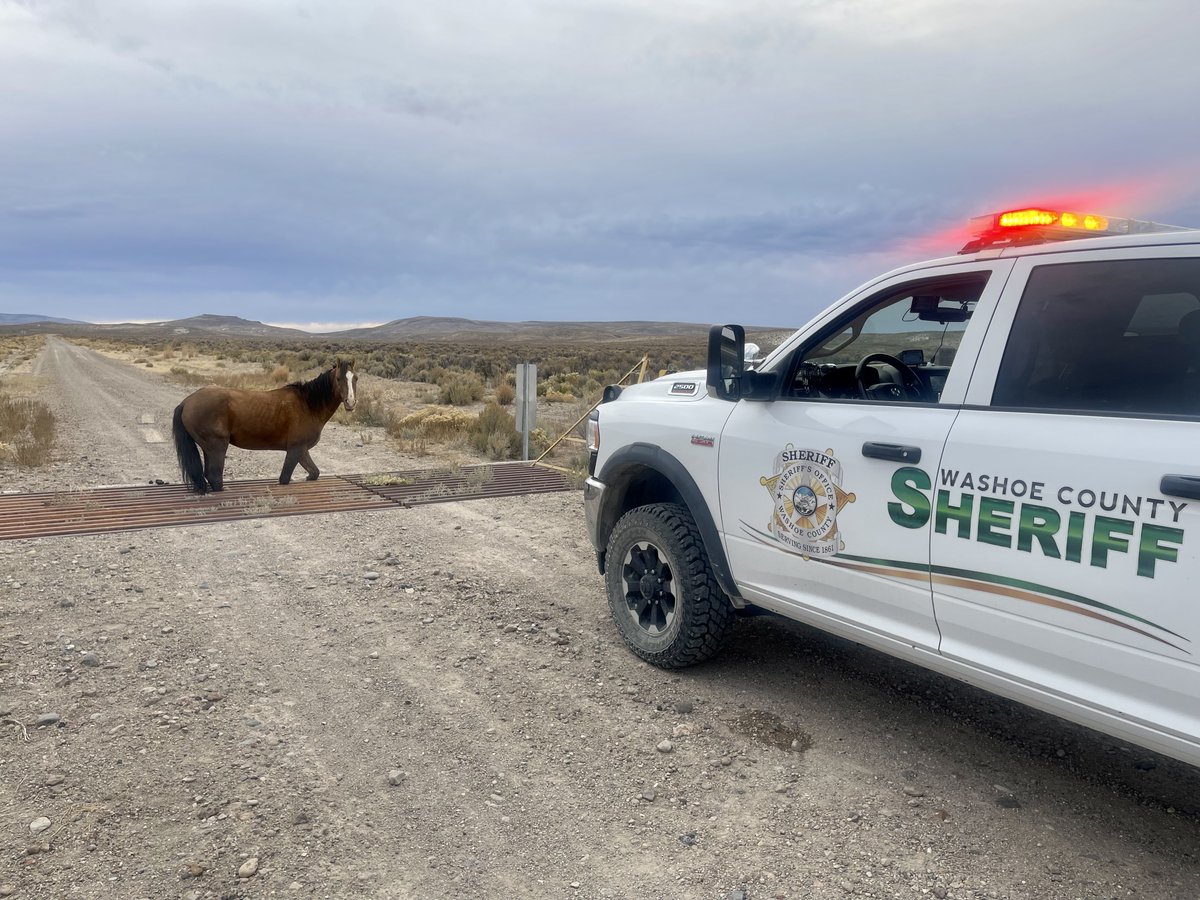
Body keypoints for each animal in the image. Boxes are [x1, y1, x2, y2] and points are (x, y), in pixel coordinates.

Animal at [172, 359, 357, 493]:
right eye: (339, 379)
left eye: (355, 378)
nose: (351, 403)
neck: (308, 404)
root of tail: (187, 401)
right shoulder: (295, 449)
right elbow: (285, 478)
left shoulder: (302, 450)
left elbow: (314, 473)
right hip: (217, 447)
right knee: (214, 477)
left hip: (208, 448)